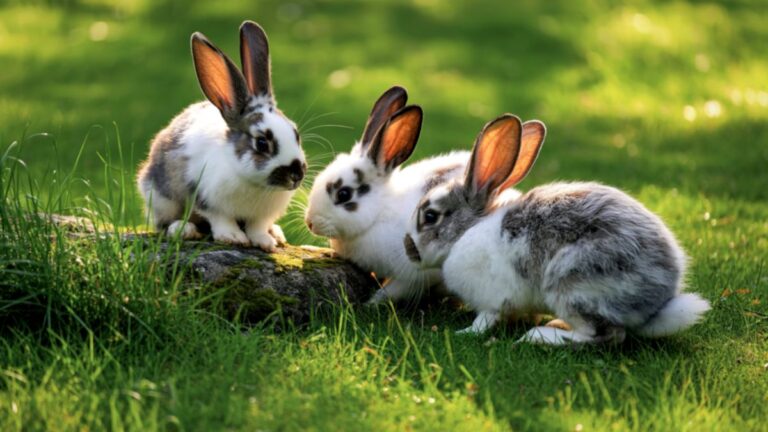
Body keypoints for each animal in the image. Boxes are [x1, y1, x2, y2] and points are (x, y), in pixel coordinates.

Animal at [137, 21, 306, 251]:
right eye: (262, 143)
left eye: (296, 134)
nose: (297, 175)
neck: (254, 183)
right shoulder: (207, 199)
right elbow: (221, 220)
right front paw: (233, 237)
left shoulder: (261, 215)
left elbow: (258, 226)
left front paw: (265, 241)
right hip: (161, 198)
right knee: (162, 223)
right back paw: (184, 229)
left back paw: (276, 233)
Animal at [305, 86, 484, 304]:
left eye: (344, 194)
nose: (310, 222)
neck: (380, 213)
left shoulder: (417, 272)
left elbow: (396, 289)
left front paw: (372, 302)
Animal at [404, 114, 710, 344]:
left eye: (430, 216)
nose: (409, 250)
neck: (467, 231)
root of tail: (658, 302)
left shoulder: (493, 299)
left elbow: (485, 319)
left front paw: (465, 332)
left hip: (572, 286)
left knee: (604, 335)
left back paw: (540, 336)